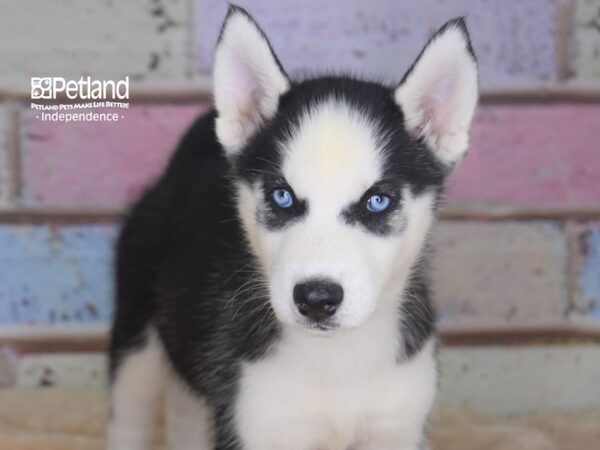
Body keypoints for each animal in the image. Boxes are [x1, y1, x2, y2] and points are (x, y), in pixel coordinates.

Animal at [108, 4, 478, 450]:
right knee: (129, 416)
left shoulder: (397, 426)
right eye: (282, 196)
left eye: (377, 201)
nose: (316, 298)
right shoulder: (257, 422)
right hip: (137, 342)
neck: (337, 361)